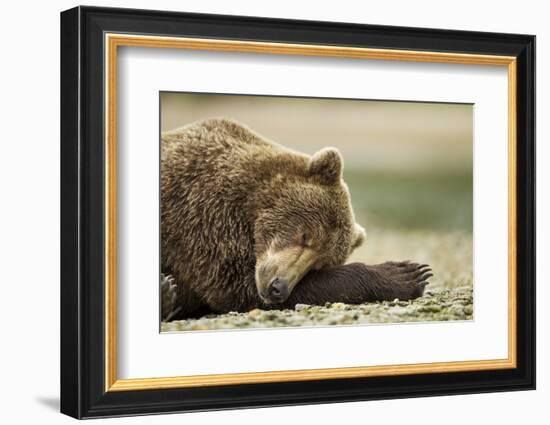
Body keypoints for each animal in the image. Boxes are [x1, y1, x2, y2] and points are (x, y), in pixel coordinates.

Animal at [162, 118, 434, 318]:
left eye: (318, 264)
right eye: (305, 235)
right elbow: (234, 285)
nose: (277, 288)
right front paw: (406, 273)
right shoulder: (203, 218)